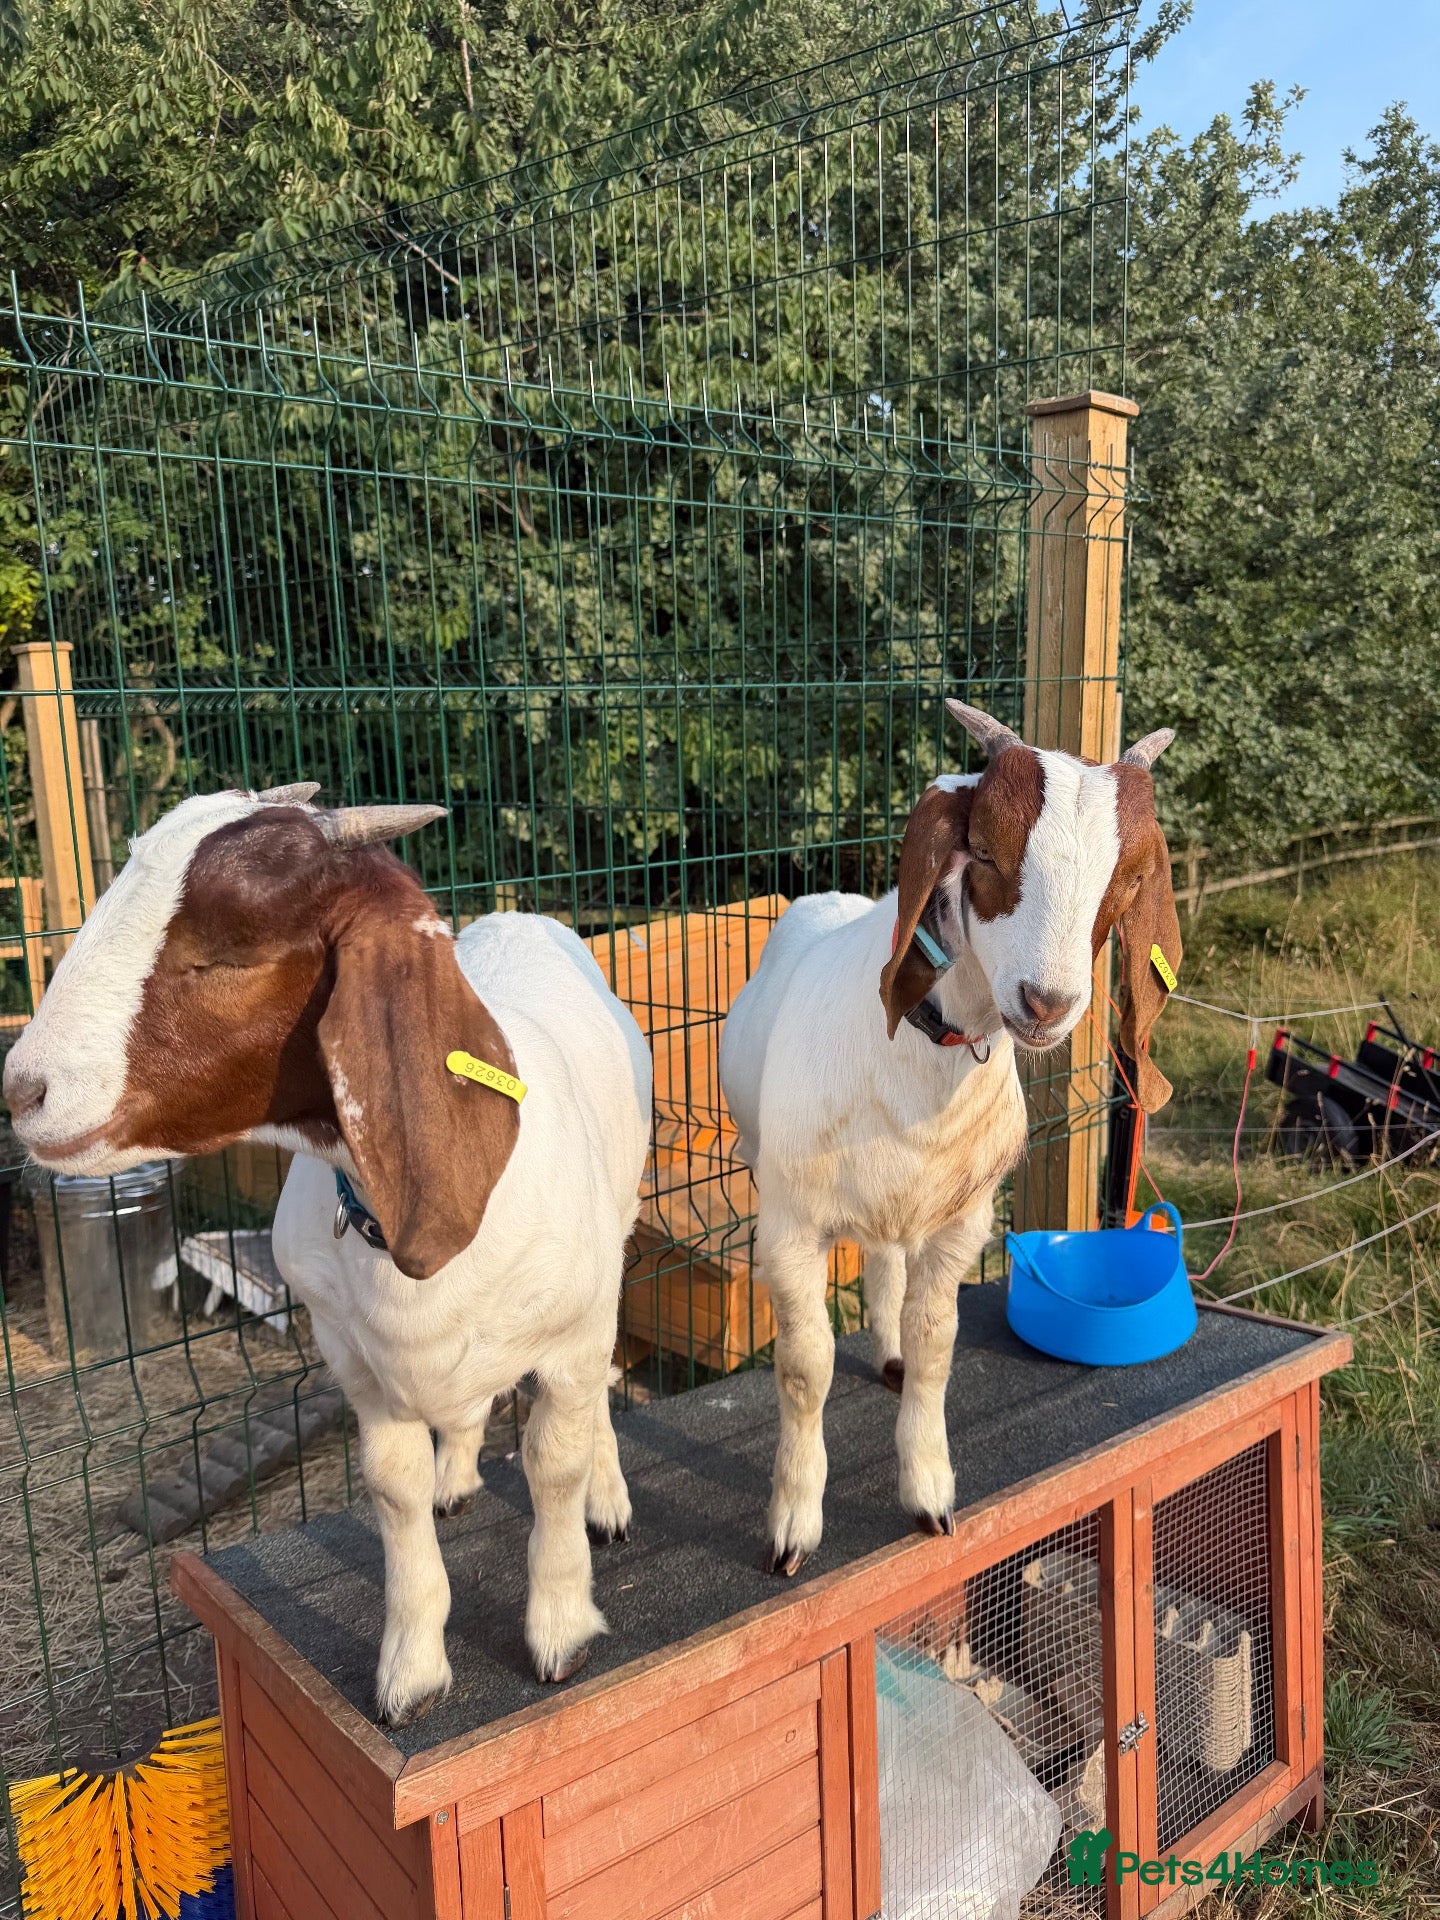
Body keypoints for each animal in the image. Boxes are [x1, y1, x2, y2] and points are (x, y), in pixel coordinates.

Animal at [4, 787, 651, 1725]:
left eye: (231, 953)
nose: (23, 1092)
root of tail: (521, 917)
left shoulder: (567, 1330)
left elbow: (553, 1462)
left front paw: (561, 1627)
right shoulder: (355, 1361)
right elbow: (393, 1485)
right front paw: (410, 1673)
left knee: (595, 1391)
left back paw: (608, 1498)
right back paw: (458, 1472)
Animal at [719, 700, 1181, 1574]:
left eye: (1129, 880)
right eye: (988, 852)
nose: (1045, 1003)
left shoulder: (962, 1222)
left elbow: (937, 1344)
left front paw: (929, 1492)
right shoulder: (789, 1226)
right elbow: (804, 1368)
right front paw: (793, 1525)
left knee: (888, 1260)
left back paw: (891, 1352)